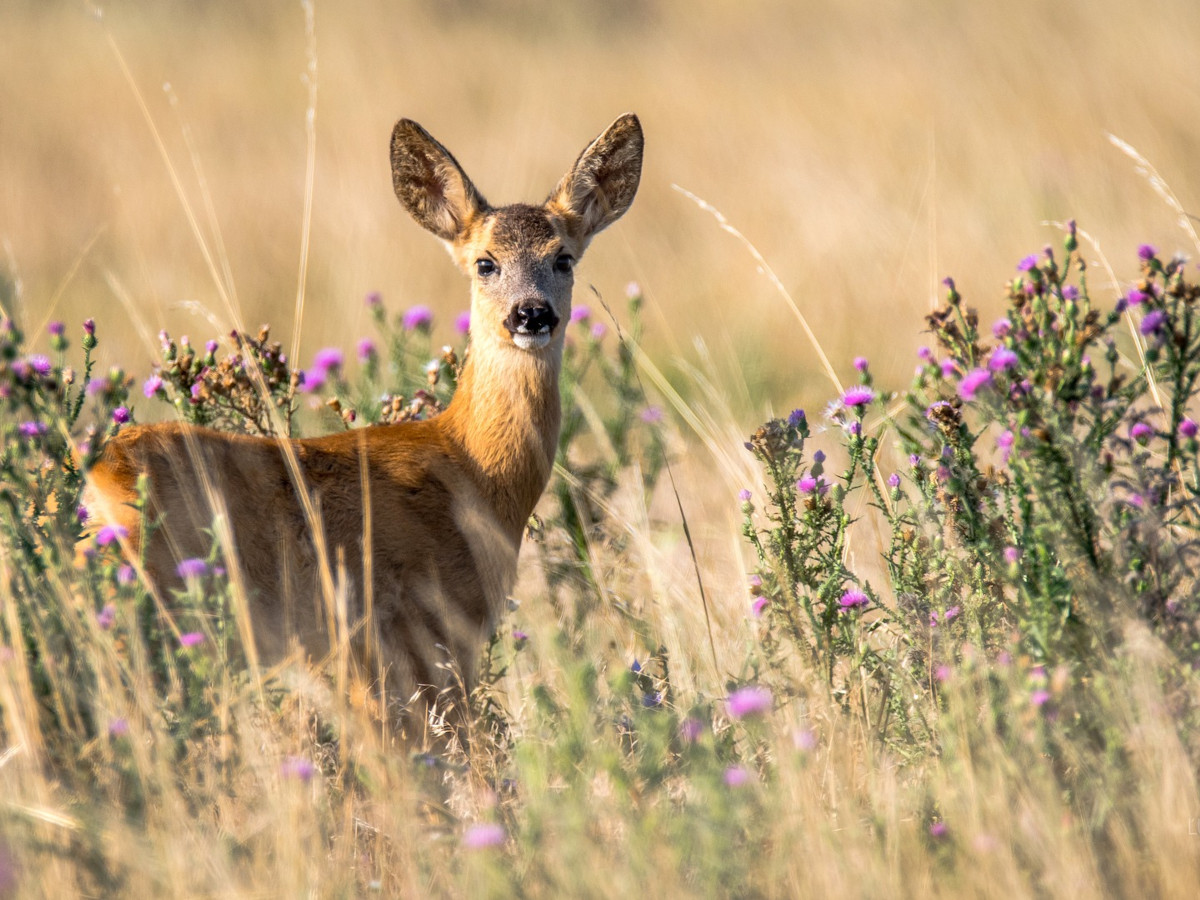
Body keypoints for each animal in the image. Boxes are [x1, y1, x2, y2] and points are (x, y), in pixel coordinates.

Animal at [82, 109, 648, 734]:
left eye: (563, 258)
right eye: (485, 263)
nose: (531, 314)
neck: (473, 471)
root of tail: (99, 475)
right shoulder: (418, 633)